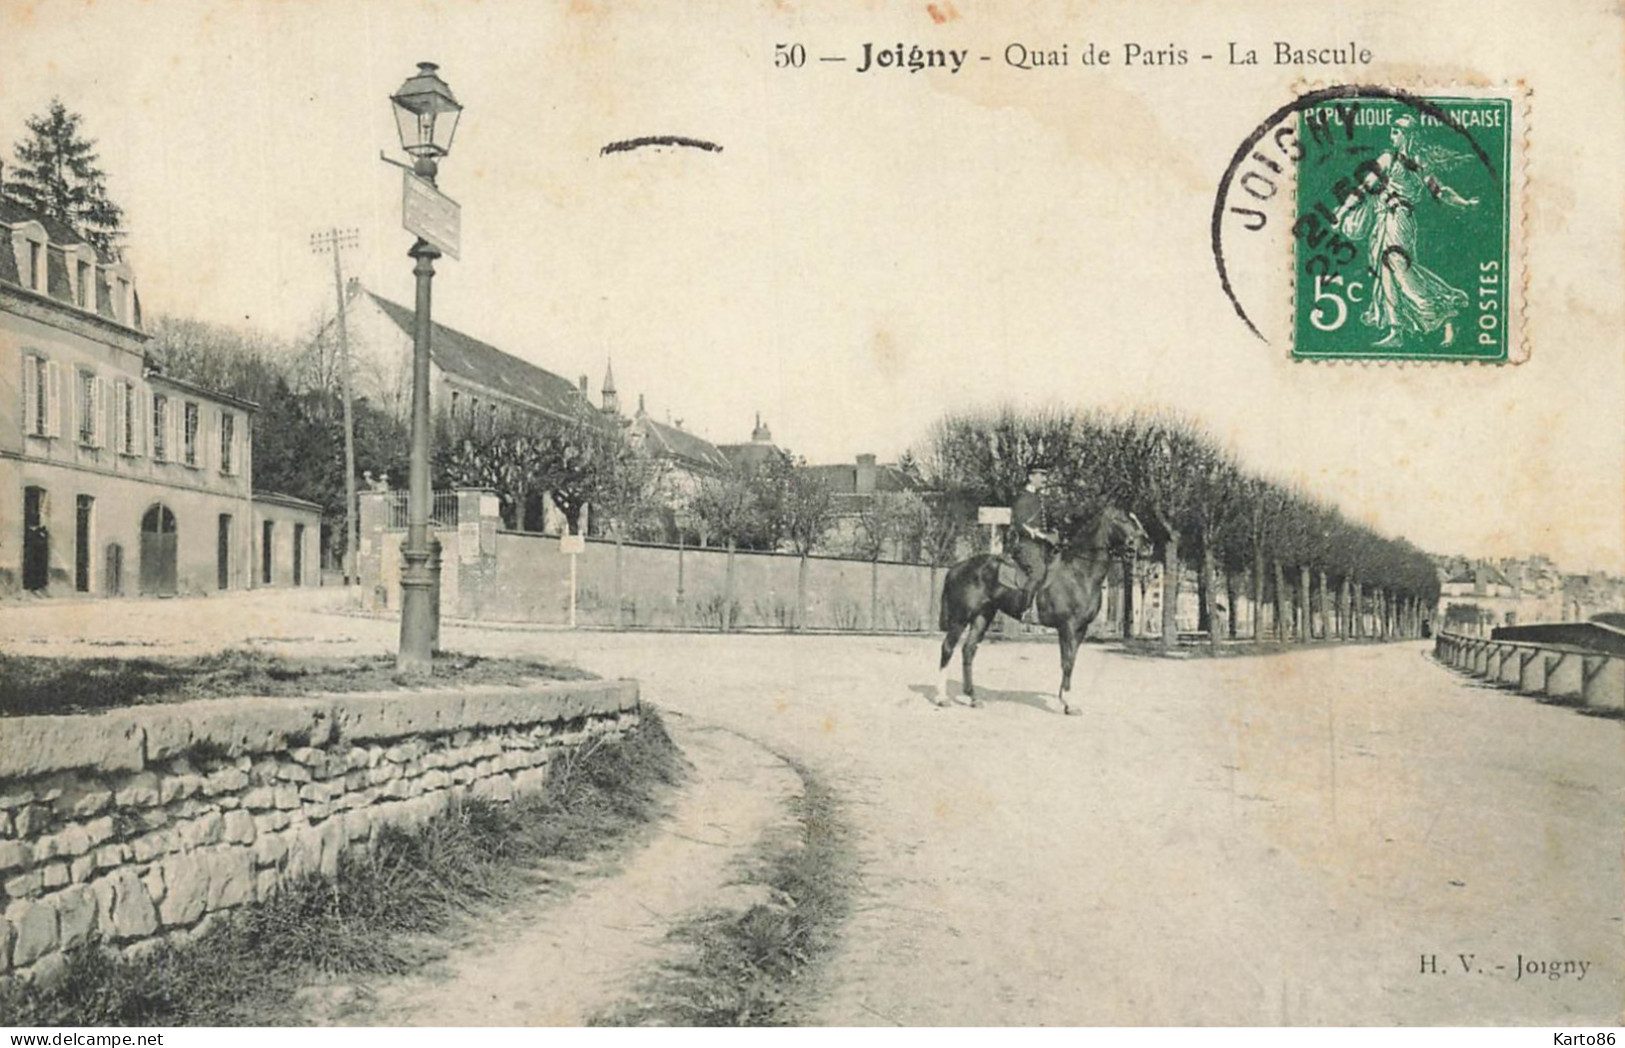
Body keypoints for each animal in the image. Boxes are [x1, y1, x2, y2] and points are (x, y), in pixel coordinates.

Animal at [936, 503, 1150, 714]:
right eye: (1123, 520)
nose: (1148, 546)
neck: (1079, 572)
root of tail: (957, 568)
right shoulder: (1068, 627)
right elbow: (1067, 661)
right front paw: (1068, 702)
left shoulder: (1080, 629)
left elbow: (1070, 661)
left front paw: (1064, 699)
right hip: (961, 617)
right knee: (948, 647)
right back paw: (942, 698)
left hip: (982, 616)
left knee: (968, 649)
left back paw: (973, 698)